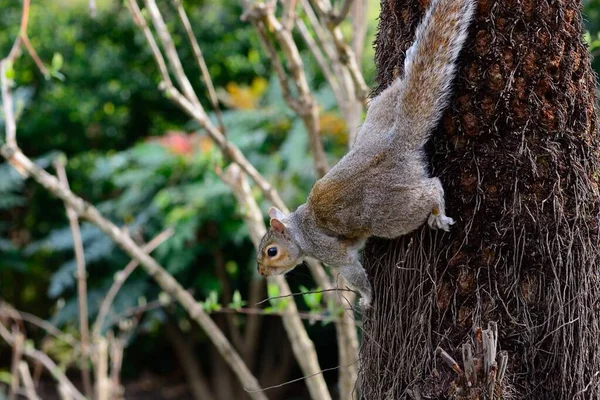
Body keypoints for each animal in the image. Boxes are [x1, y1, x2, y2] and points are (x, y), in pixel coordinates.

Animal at [255, 0, 476, 308]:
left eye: (271, 251)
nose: (262, 272)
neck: (299, 229)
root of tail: (396, 144)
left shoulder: (328, 250)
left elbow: (353, 272)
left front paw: (366, 299)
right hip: (380, 111)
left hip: (389, 213)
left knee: (431, 189)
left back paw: (438, 213)